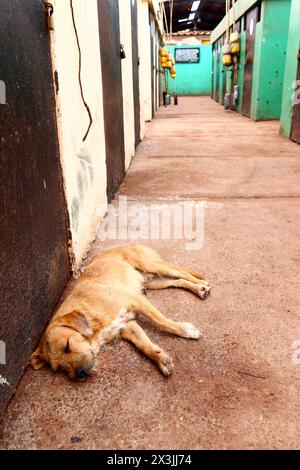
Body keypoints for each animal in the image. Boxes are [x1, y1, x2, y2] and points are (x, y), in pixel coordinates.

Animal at [29, 244, 209, 380]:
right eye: (59, 368)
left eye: (67, 346)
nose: (79, 374)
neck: (92, 317)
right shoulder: (127, 326)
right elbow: (144, 345)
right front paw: (160, 359)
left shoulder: (136, 301)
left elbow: (163, 321)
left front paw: (185, 330)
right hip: (154, 282)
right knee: (178, 281)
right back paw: (198, 289)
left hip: (153, 266)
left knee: (182, 272)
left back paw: (203, 284)